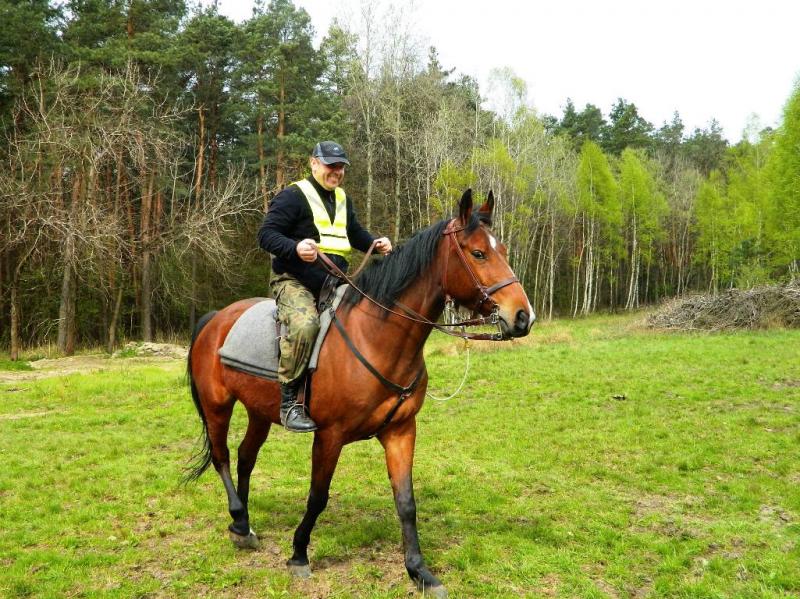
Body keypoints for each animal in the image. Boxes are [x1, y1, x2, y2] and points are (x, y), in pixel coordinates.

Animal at [186, 189, 533, 597]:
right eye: (478, 253)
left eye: (503, 250)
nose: (523, 316)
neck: (376, 336)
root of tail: (216, 319)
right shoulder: (329, 436)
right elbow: (318, 496)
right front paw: (299, 555)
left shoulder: (400, 432)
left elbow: (406, 502)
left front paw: (419, 571)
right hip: (217, 406)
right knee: (222, 457)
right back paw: (239, 521)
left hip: (258, 411)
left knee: (245, 457)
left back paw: (245, 522)